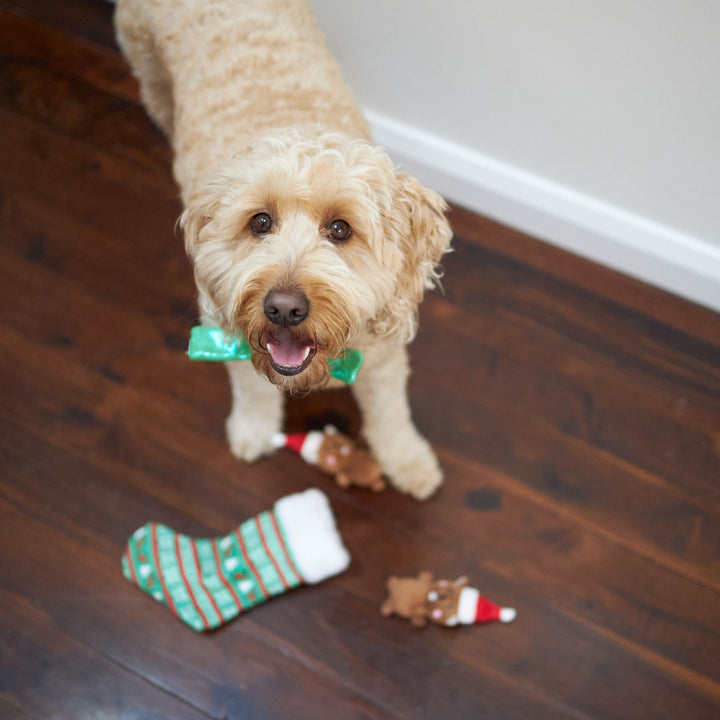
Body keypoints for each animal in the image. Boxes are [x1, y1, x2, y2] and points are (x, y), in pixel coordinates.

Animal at [115, 0, 452, 500]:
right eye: (260, 222)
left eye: (340, 229)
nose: (284, 308)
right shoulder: (229, 331)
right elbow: (253, 390)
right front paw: (253, 431)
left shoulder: (383, 355)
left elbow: (391, 412)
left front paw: (408, 461)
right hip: (148, 65)